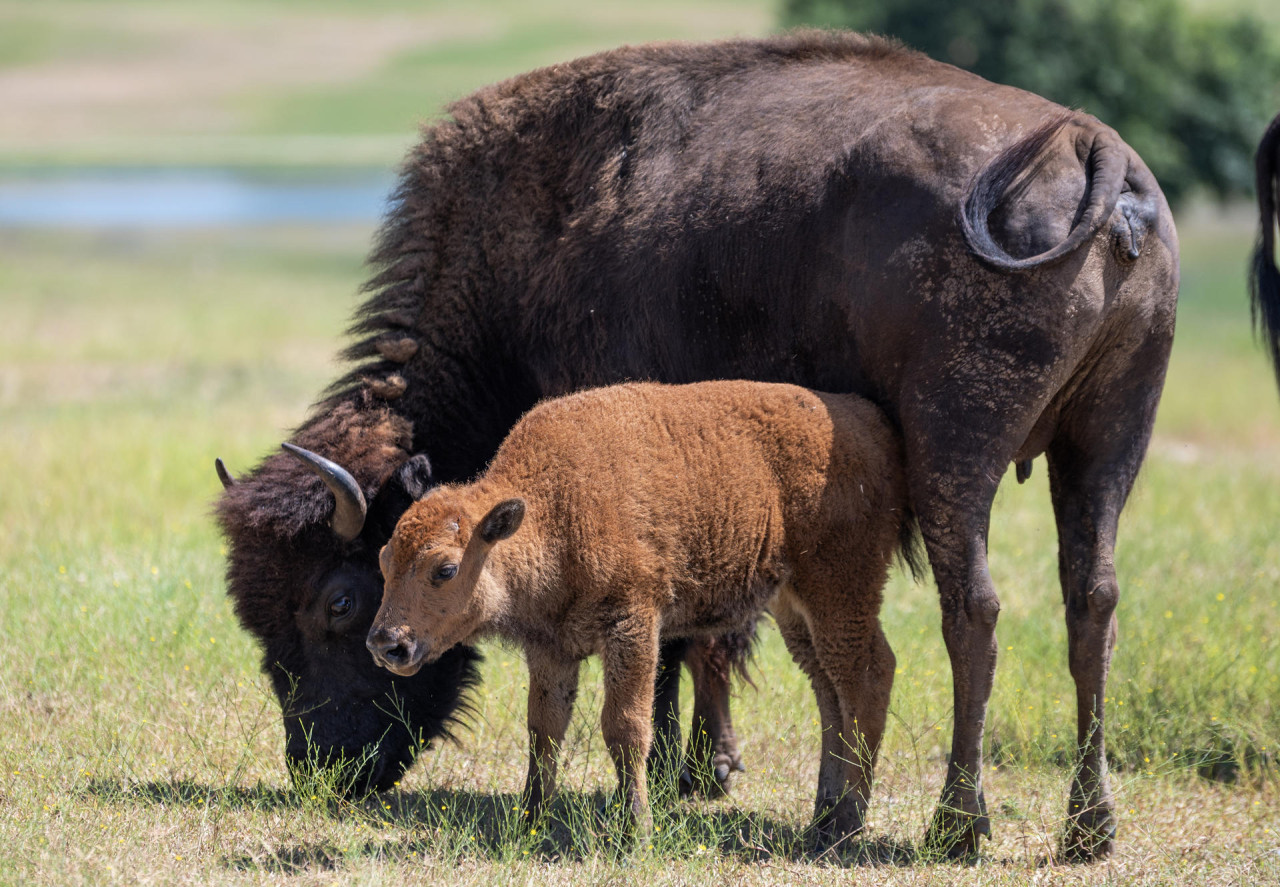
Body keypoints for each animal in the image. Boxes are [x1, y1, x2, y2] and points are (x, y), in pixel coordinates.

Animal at [366, 381, 916, 839]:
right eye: (384, 558)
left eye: (444, 569)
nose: (387, 644)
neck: (553, 508)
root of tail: (872, 424)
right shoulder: (552, 649)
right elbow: (544, 730)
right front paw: (530, 822)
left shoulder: (633, 624)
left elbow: (625, 727)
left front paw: (637, 831)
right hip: (794, 607)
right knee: (830, 693)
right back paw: (823, 816)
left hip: (840, 592)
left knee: (868, 677)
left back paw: (845, 827)